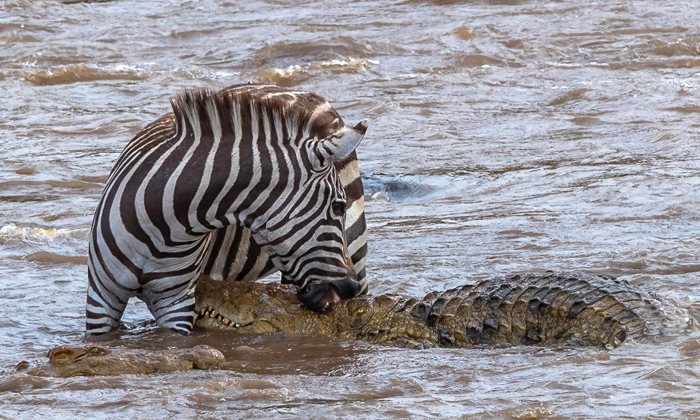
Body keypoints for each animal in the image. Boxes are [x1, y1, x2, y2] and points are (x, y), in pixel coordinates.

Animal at [87, 84, 370, 334]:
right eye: (337, 206)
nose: (348, 288)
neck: (166, 229)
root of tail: (307, 94)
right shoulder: (101, 297)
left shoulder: (175, 302)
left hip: (356, 247)